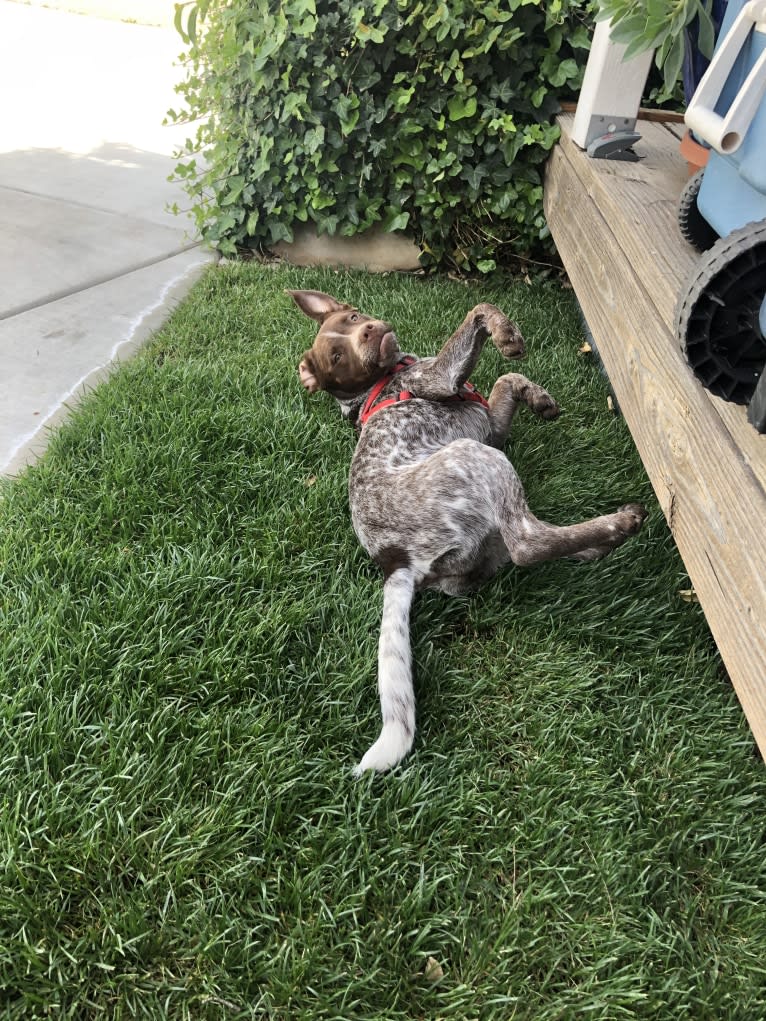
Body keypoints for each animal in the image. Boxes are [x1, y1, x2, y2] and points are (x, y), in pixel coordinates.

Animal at [292, 292, 649, 775]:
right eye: (337, 357)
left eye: (351, 318)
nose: (368, 330)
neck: (382, 382)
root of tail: (395, 563)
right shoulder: (440, 380)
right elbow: (478, 311)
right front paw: (506, 334)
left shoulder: (491, 427)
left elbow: (505, 379)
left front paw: (538, 397)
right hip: (475, 457)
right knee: (527, 543)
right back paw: (618, 525)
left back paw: (596, 545)